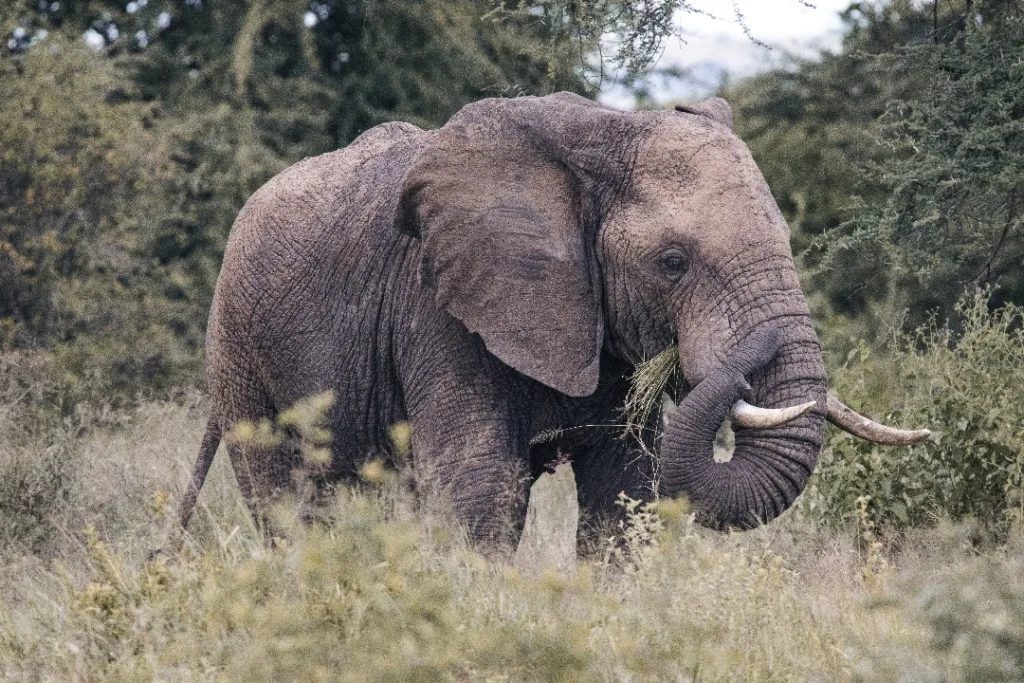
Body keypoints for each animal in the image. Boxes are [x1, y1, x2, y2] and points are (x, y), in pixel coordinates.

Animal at [177, 92, 928, 546]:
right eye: (673, 262)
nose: (748, 361)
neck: (602, 134)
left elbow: (624, 493)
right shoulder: (441, 307)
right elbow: (484, 489)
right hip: (238, 345)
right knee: (286, 500)